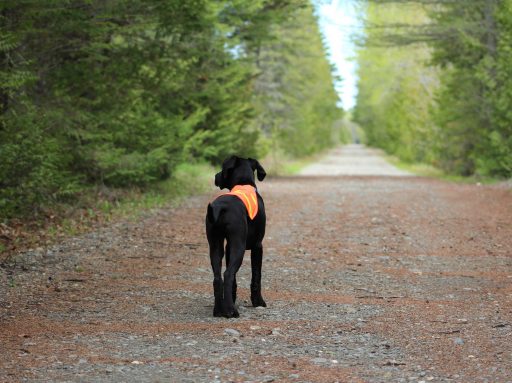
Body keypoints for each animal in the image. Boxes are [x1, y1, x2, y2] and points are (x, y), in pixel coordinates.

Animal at [205, 156, 266, 318]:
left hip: (215, 245)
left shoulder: (228, 247)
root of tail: (221, 207)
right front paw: (258, 302)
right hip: (239, 247)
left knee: (218, 278)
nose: (215, 176)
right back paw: (231, 311)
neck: (243, 183)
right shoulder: (258, 246)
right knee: (228, 274)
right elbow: (256, 276)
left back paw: (219, 310)